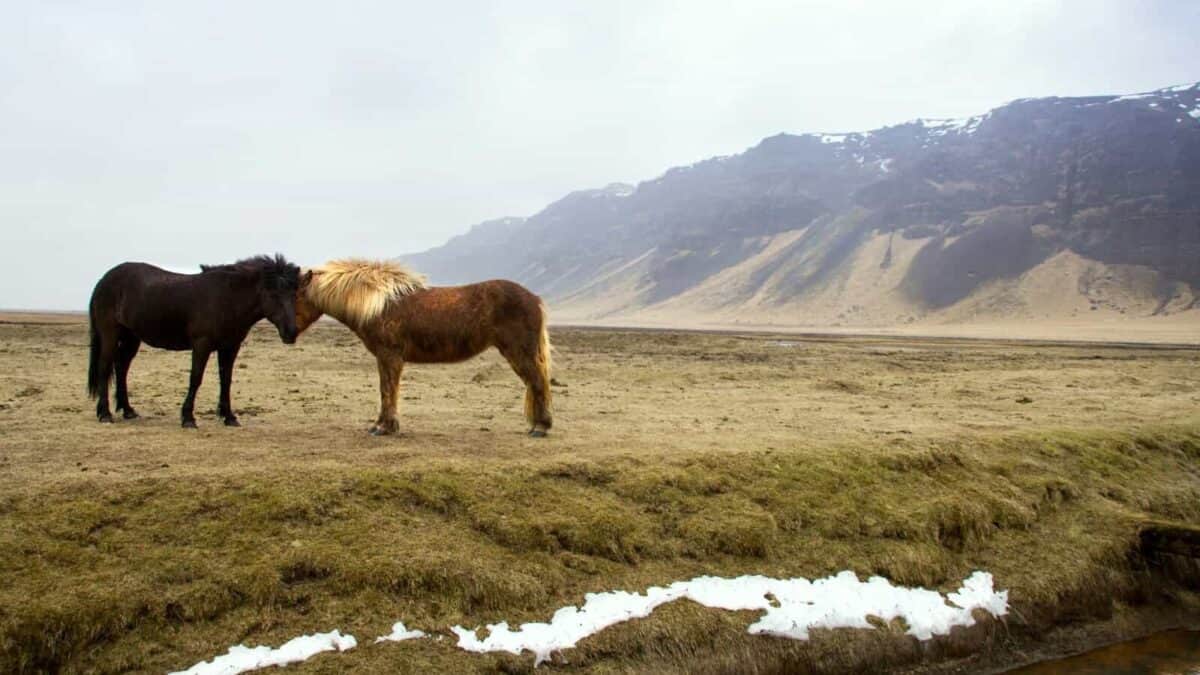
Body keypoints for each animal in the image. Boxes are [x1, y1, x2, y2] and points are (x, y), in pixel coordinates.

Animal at [87, 254, 307, 428]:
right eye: (273, 294)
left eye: (294, 294)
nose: (291, 333)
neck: (227, 299)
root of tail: (104, 280)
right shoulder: (202, 345)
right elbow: (196, 378)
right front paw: (188, 418)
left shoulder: (230, 347)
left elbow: (226, 379)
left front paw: (229, 416)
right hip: (110, 334)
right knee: (105, 367)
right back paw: (105, 414)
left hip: (132, 337)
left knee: (121, 367)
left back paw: (128, 410)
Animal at [293, 258, 553, 437]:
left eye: (296, 296)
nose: (289, 334)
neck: (379, 304)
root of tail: (535, 299)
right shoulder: (385, 358)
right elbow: (386, 390)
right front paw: (381, 425)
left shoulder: (390, 357)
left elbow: (387, 390)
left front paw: (385, 427)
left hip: (519, 352)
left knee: (537, 381)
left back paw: (540, 427)